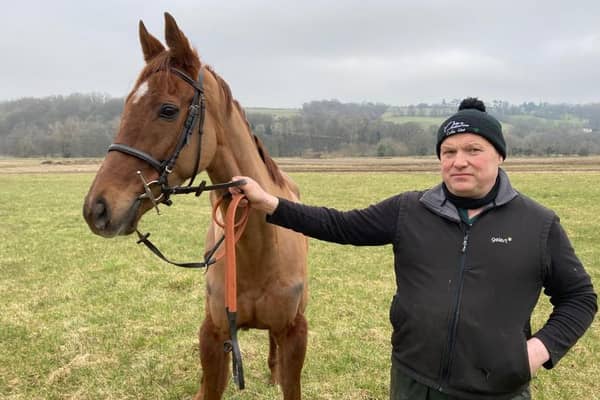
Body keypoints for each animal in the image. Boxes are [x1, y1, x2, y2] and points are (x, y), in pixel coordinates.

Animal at [83, 12, 310, 400]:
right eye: (126, 106)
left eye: (168, 109)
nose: (97, 209)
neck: (260, 251)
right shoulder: (213, 337)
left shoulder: (295, 334)